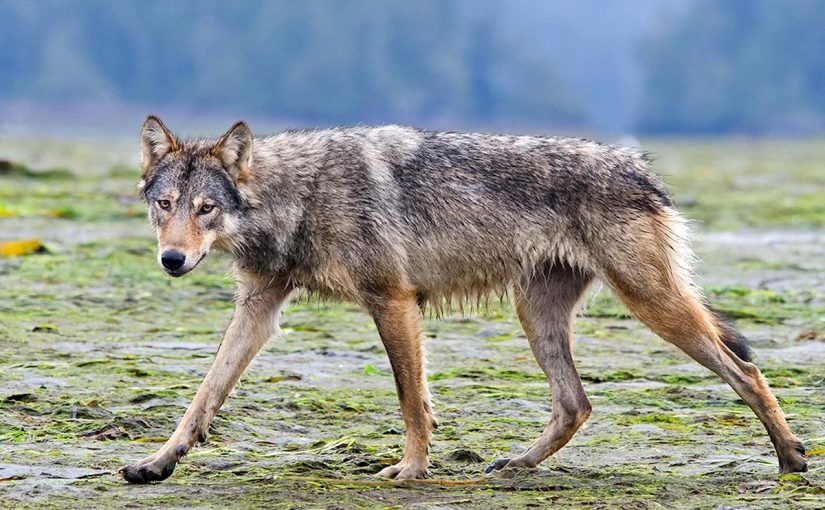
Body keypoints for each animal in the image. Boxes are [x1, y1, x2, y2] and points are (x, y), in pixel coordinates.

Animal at [120, 116, 808, 483]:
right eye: (165, 205)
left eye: (205, 209)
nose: (172, 260)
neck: (300, 194)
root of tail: (642, 167)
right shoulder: (258, 309)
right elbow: (203, 396)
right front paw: (156, 464)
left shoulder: (393, 302)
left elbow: (411, 402)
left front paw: (410, 471)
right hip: (537, 317)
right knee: (576, 405)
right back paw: (515, 464)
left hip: (651, 306)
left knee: (745, 369)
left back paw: (792, 457)